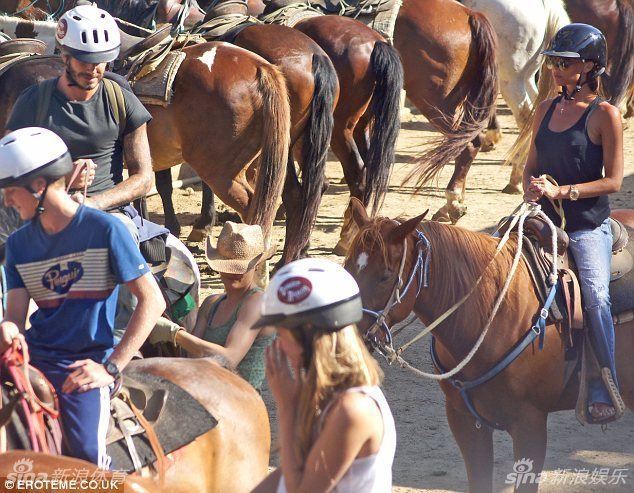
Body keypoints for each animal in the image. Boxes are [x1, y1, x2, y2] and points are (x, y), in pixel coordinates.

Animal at [344, 196, 632, 492]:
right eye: (347, 266)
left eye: (385, 276)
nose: (349, 337)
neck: (491, 312)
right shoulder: (464, 420)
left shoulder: (530, 423)